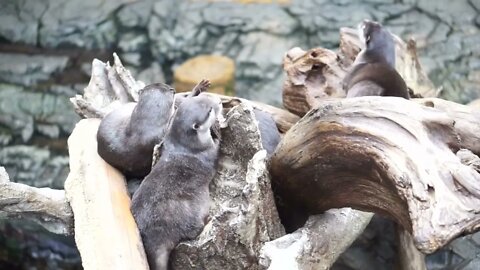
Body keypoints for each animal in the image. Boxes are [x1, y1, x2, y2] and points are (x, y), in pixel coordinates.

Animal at [130, 93, 222, 270]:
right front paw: (217, 133)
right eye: (209, 110)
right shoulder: (209, 151)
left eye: (205, 97)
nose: (220, 101)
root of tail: (155, 236)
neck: (186, 146)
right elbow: (218, 148)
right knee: (192, 230)